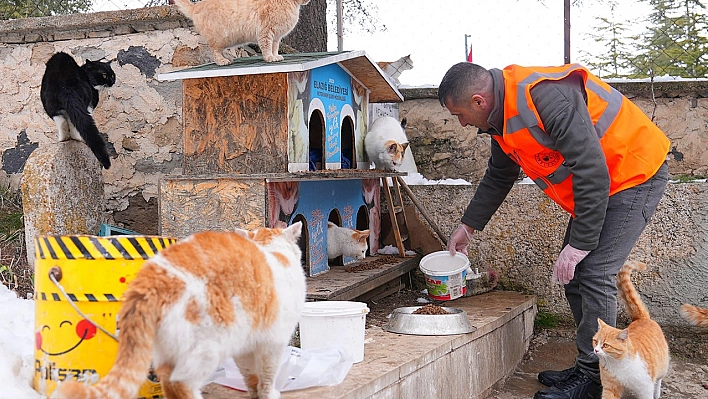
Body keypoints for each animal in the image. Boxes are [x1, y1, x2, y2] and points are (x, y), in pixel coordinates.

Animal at [56, 222, 306, 399]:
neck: (270, 249)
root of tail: (151, 279)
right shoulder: (273, 341)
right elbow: (267, 374)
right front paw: (268, 394)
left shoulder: (246, 346)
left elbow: (251, 375)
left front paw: (255, 393)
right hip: (206, 347)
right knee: (180, 384)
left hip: (166, 349)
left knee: (168, 382)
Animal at [173, 0, 308, 65]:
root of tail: (196, 6)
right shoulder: (266, 33)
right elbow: (267, 48)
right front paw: (270, 58)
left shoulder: (276, 37)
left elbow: (274, 48)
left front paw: (276, 56)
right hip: (218, 38)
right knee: (215, 52)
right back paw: (223, 61)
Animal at [592, 262, 668, 399]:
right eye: (595, 341)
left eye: (605, 345)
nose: (596, 350)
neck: (616, 363)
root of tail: (642, 318)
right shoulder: (610, 387)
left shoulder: (645, 388)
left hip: (662, 367)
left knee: (659, 379)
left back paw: (657, 392)